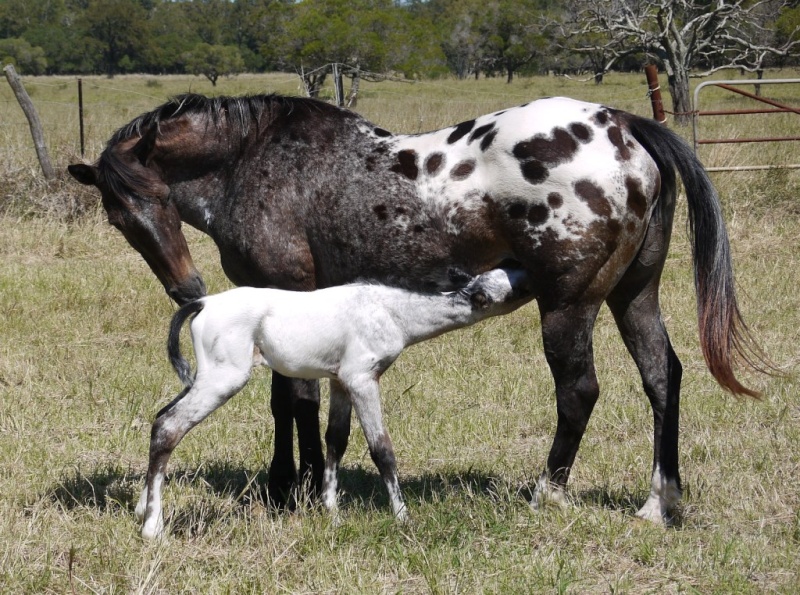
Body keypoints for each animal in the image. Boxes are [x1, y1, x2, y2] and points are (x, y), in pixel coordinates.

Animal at [134, 268, 532, 536]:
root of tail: (204, 303)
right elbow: (381, 449)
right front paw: (402, 516)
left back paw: (141, 507)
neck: (391, 311)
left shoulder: (340, 382)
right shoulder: (362, 379)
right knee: (169, 426)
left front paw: (331, 511)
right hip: (223, 380)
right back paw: (153, 527)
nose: (527, 268)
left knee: (159, 417)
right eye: (513, 288)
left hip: (202, 379)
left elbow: (335, 441)